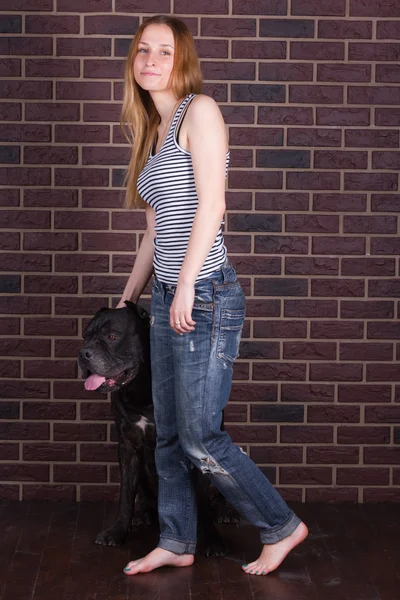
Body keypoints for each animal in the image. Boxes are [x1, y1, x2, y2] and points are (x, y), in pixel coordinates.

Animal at [77, 302, 238, 556]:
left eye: (112, 337)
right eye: (85, 336)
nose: (83, 354)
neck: (142, 388)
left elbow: (202, 500)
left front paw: (212, 540)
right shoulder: (127, 445)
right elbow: (125, 495)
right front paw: (117, 531)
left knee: (217, 496)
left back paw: (224, 512)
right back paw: (143, 514)